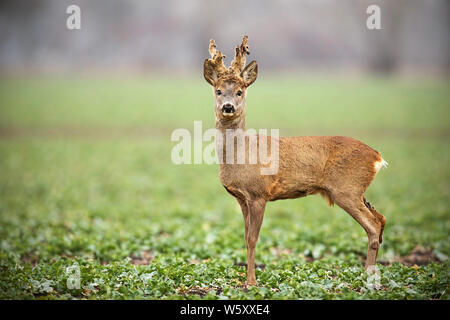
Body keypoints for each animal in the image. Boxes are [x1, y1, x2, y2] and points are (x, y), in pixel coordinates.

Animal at [203, 36, 386, 286]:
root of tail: (377, 156)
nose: (228, 107)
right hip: (357, 191)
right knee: (381, 218)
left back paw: (369, 278)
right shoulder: (241, 197)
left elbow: (253, 238)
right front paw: (247, 280)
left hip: (347, 189)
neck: (240, 155)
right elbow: (244, 236)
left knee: (373, 224)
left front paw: (251, 282)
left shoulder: (259, 193)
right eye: (219, 91)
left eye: (240, 92)